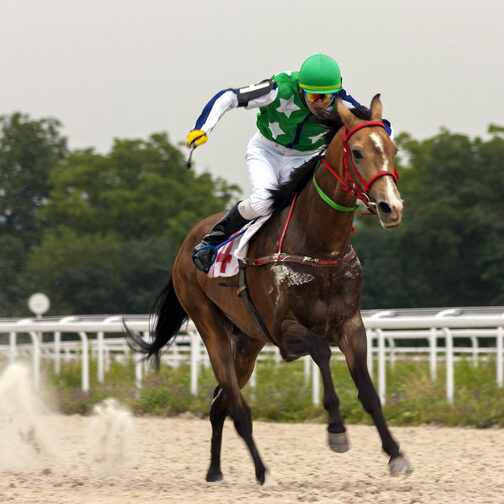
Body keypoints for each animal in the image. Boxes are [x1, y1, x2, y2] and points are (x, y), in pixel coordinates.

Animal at [124, 94, 412, 484]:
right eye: (356, 152)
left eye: (392, 149)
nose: (390, 207)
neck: (319, 247)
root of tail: (187, 244)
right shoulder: (285, 330)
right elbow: (321, 351)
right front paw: (336, 430)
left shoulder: (351, 326)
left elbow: (369, 393)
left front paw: (395, 454)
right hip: (211, 327)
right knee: (236, 406)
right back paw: (261, 470)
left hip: (247, 342)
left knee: (219, 404)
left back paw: (214, 470)